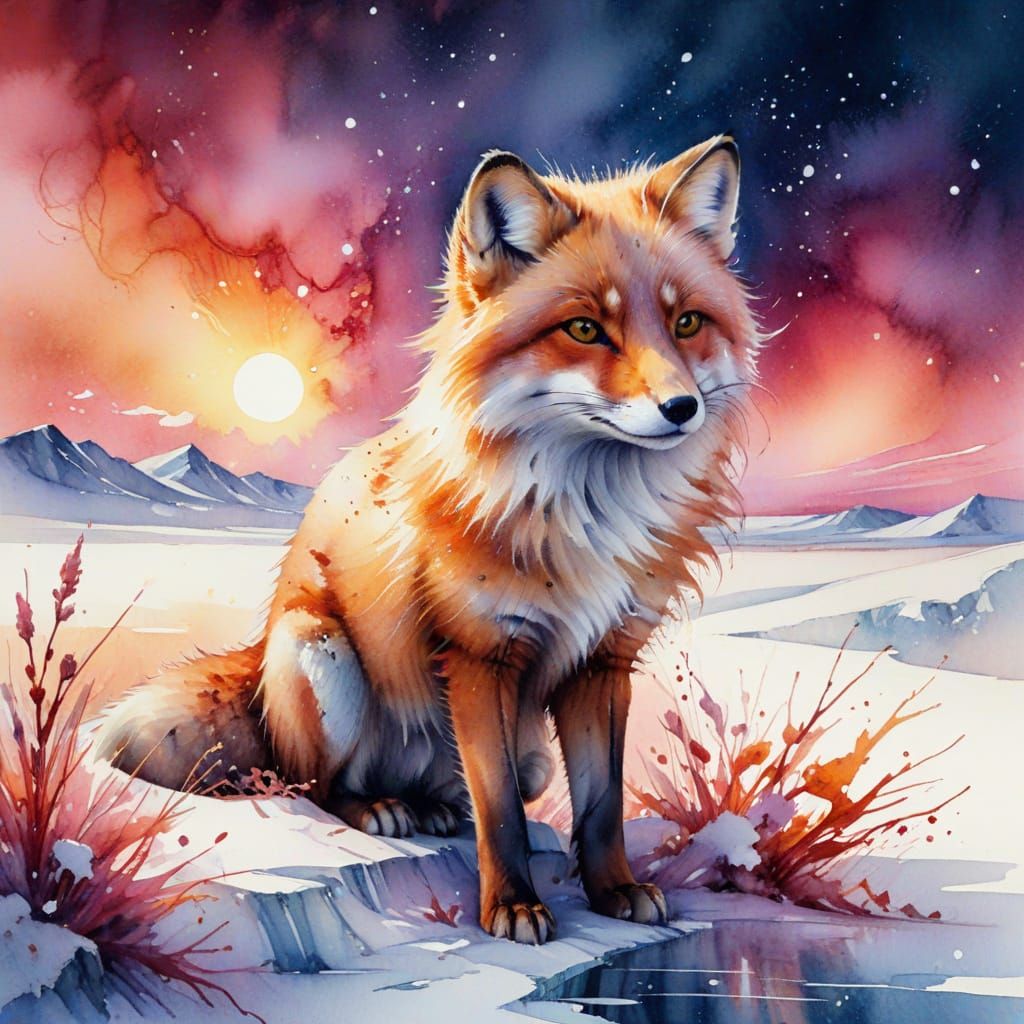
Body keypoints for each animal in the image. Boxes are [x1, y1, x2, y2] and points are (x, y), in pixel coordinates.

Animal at [96, 134, 762, 945]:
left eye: (687, 323)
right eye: (584, 329)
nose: (681, 407)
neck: (588, 519)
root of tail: (255, 666)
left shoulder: (603, 661)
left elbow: (602, 804)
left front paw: (615, 891)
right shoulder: (479, 656)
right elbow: (500, 809)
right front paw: (512, 907)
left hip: (527, 755)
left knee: (450, 792)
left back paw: (435, 810)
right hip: (321, 655)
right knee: (318, 785)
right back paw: (380, 810)